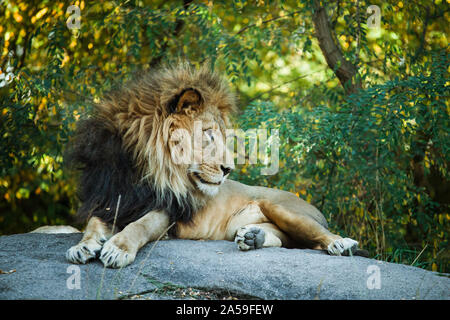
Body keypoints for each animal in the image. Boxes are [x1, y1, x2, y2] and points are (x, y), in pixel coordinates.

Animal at [64, 62, 366, 268]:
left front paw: (118, 248)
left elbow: (141, 225)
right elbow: (92, 223)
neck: (138, 167)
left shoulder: (170, 210)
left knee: (318, 234)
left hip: (282, 207)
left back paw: (341, 243)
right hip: (241, 226)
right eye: (209, 134)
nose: (228, 170)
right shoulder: (109, 198)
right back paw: (253, 237)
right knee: (288, 240)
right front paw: (83, 246)